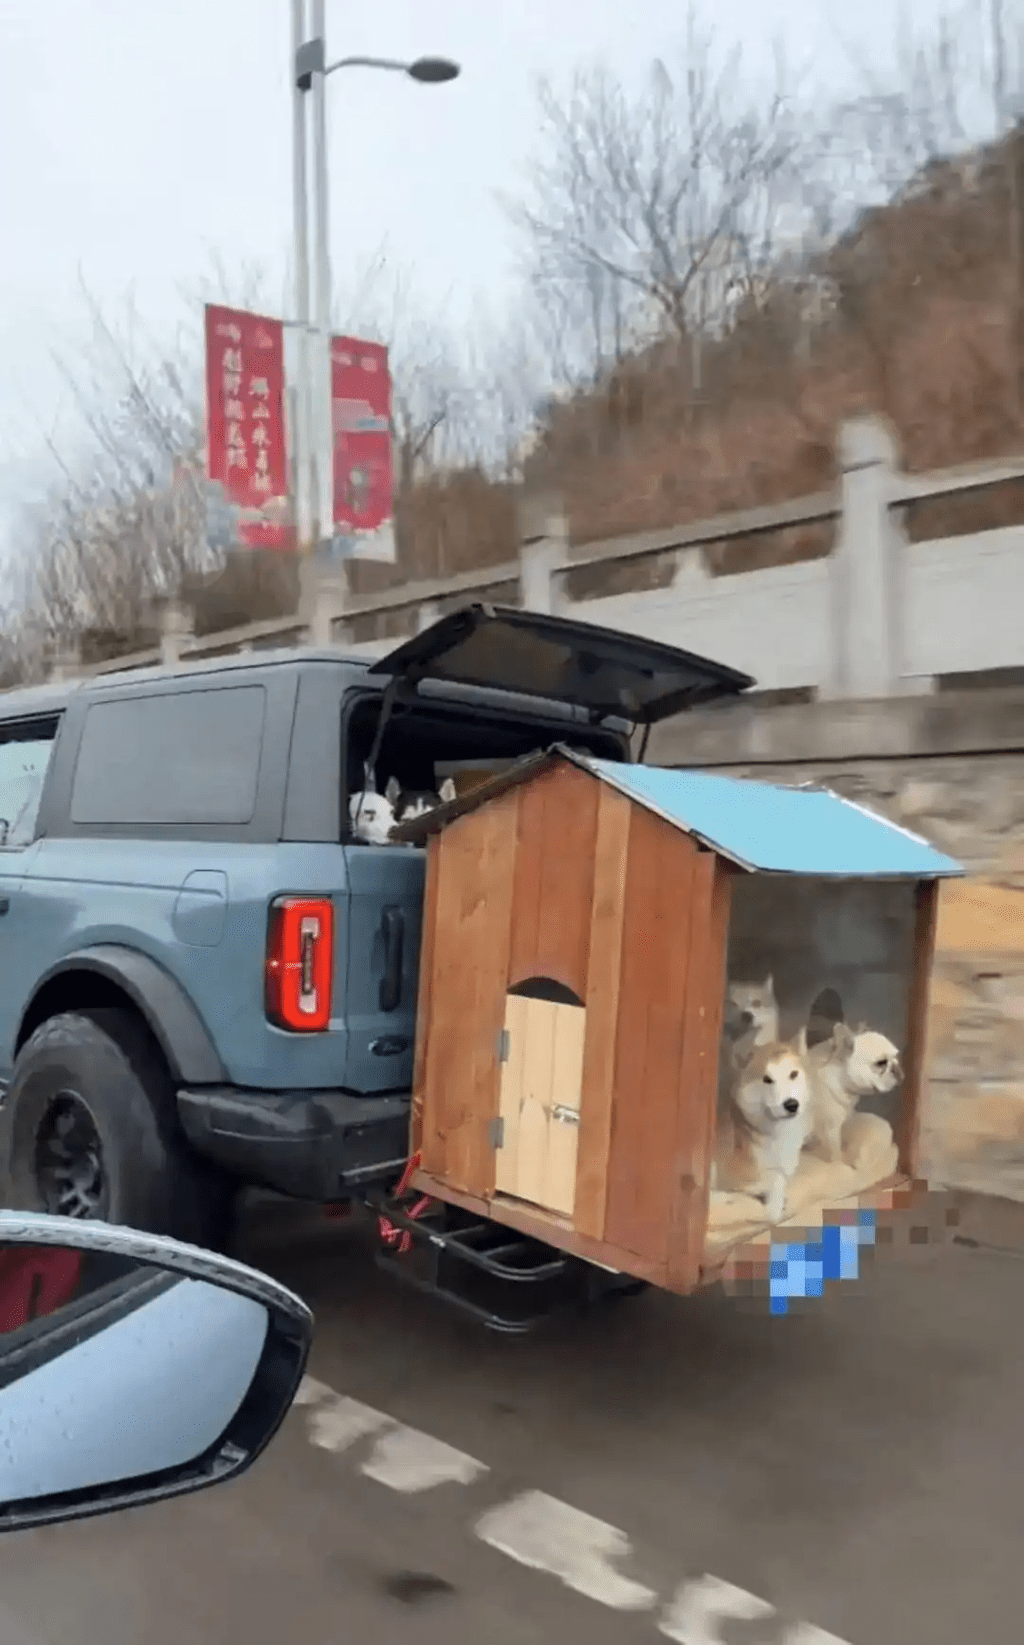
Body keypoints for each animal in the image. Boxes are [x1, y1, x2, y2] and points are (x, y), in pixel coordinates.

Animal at [803, 1019, 908, 1164]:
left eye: (896, 1057)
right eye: (881, 1063)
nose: (898, 1071)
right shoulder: (830, 1129)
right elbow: (836, 1152)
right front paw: (840, 1163)